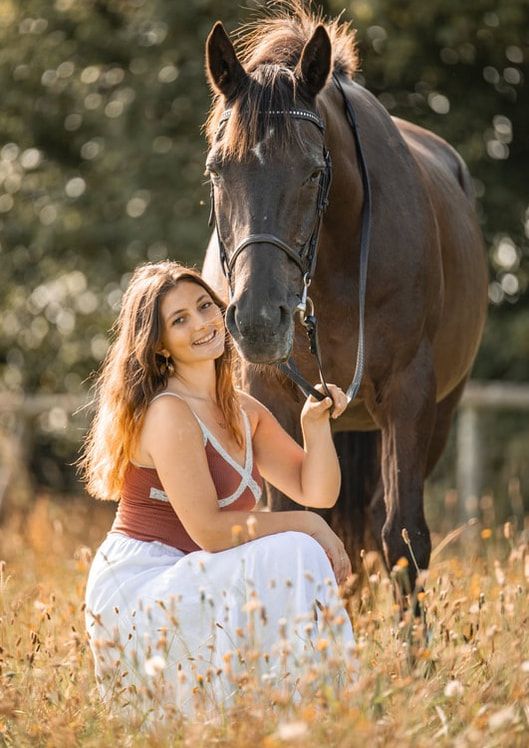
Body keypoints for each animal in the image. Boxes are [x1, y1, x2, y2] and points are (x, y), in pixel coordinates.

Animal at [201, 4, 488, 592]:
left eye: (314, 172)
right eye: (217, 169)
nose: (259, 321)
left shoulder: (409, 394)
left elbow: (405, 537)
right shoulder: (270, 395)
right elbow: (294, 523)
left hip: (440, 412)